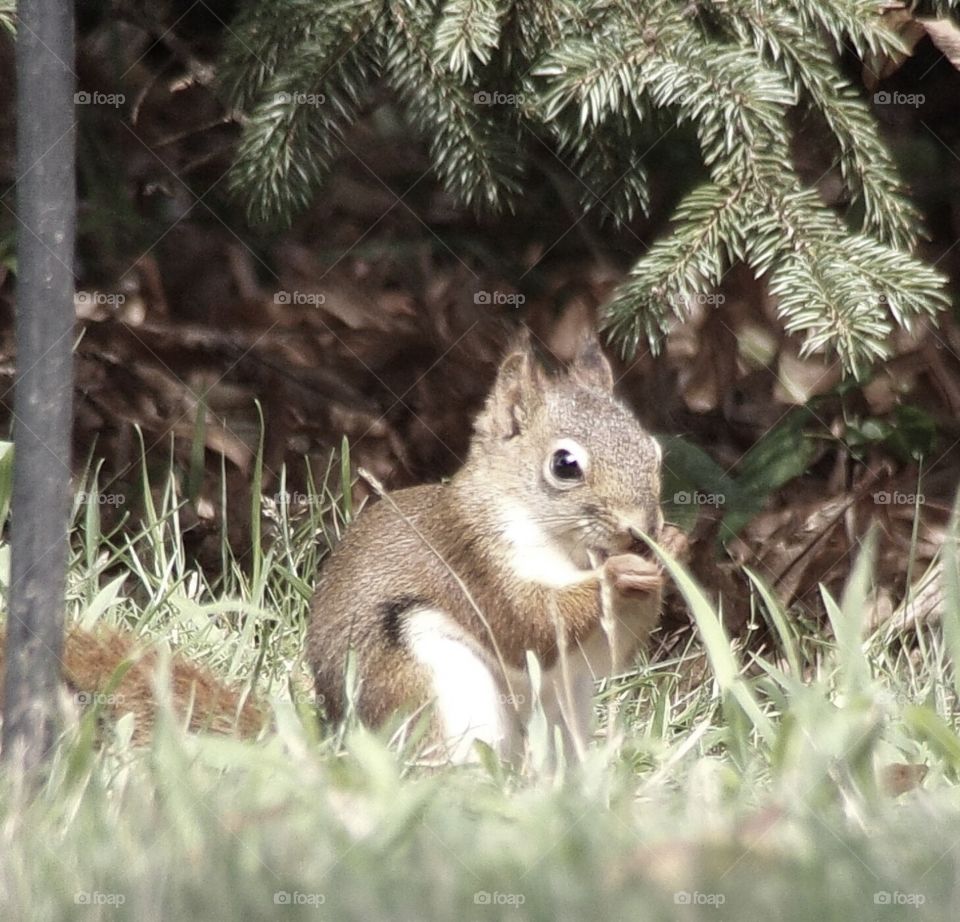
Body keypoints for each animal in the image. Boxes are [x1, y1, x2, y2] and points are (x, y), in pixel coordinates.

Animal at [307, 332, 664, 763]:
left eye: (654, 452)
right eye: (564, 465)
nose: (642, 531)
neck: (567, 550)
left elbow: (602, 657)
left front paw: (663, 562)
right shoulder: (473, 562)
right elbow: (529, 627)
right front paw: (616, 575)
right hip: (431, 684)